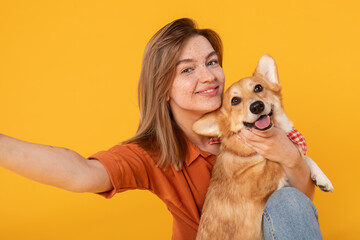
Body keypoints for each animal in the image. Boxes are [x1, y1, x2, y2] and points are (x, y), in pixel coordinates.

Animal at [193, 54, 334, 240]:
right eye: (235, 100)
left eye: (258, 88)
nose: (256, 106)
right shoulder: (261, 182)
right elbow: (291, 153)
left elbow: (302, 157)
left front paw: (323, 179)